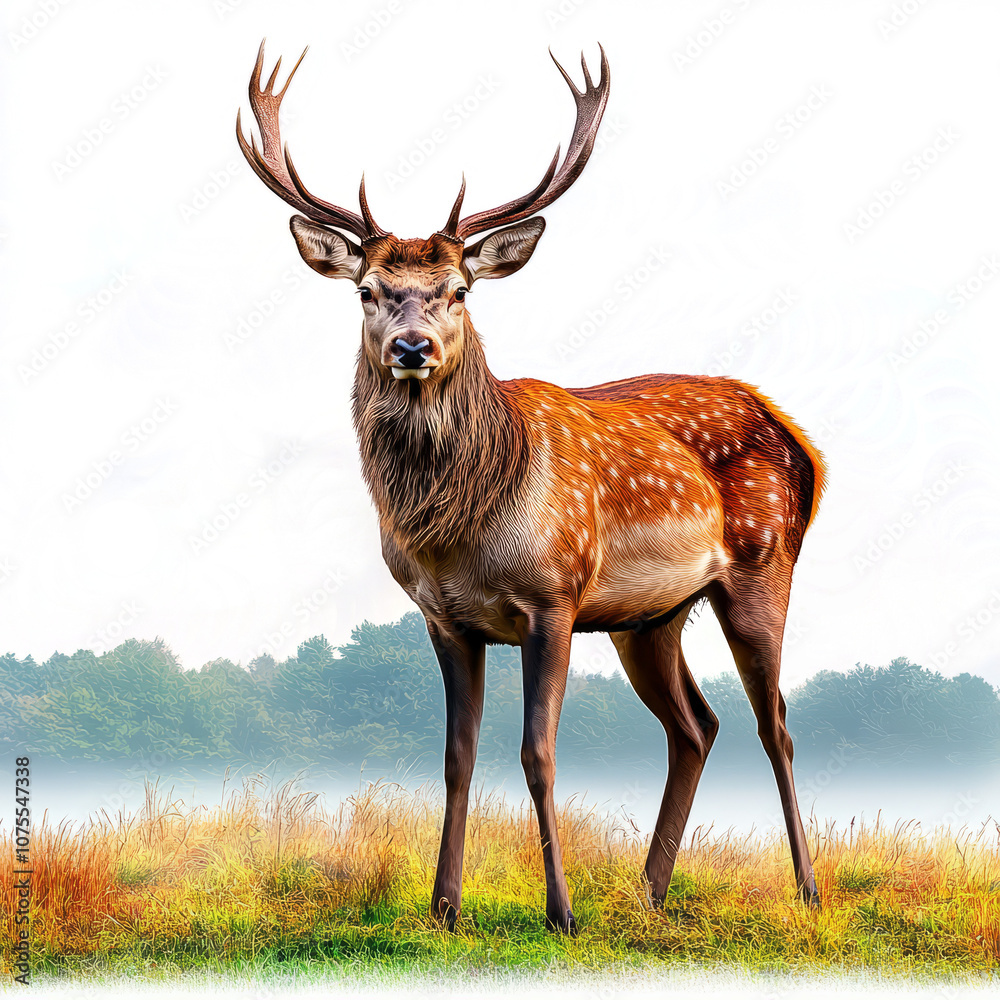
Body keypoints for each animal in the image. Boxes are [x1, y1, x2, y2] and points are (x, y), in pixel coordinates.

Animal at [237, 40, 827, 935]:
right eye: (368, 291)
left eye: (460, 291)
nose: (411, 346)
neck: (461, 529)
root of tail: (800, 441)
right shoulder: (445, 618)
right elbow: (458, 756)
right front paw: (444, 907)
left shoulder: (554, 596)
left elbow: (538, 752)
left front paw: (562, 912)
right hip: (649, 617)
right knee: (697, 724)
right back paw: (648, 894)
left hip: (763, 564)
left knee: (777, 723)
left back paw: (807, 891)